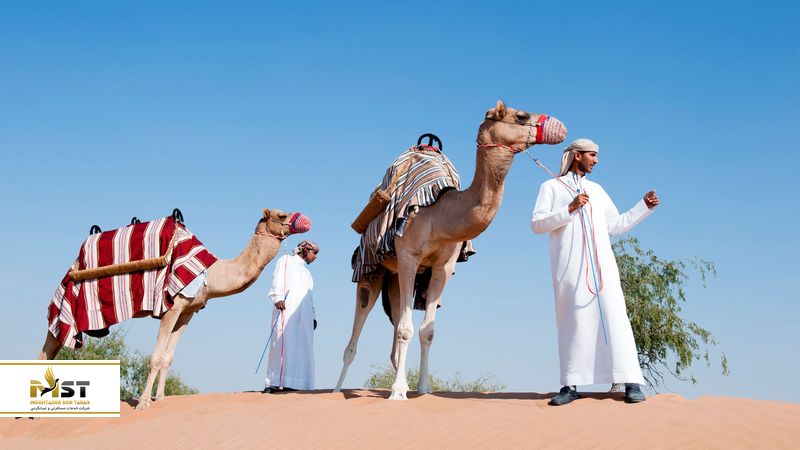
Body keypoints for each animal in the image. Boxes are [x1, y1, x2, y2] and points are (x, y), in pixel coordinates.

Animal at [39, 208, 305, 410]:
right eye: (281, 215)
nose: (303, 221)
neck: (211, 273)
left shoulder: (188, 311)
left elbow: (168, 357)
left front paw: (160, 398)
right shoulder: (171, 307)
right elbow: (156, 357)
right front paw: (143, 403)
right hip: (68, 304)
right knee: (48, 346)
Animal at [334, 101, 567, 399]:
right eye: (521, 116)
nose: (561, 127)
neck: (439, 214)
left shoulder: (442, 267)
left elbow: (427, 331)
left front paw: (423, 389)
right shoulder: (409, 256)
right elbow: (407, 330)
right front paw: (397, 393)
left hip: (394, 278)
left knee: (396, 321)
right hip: (370, 269)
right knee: (356, 333)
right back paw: (337, 390)